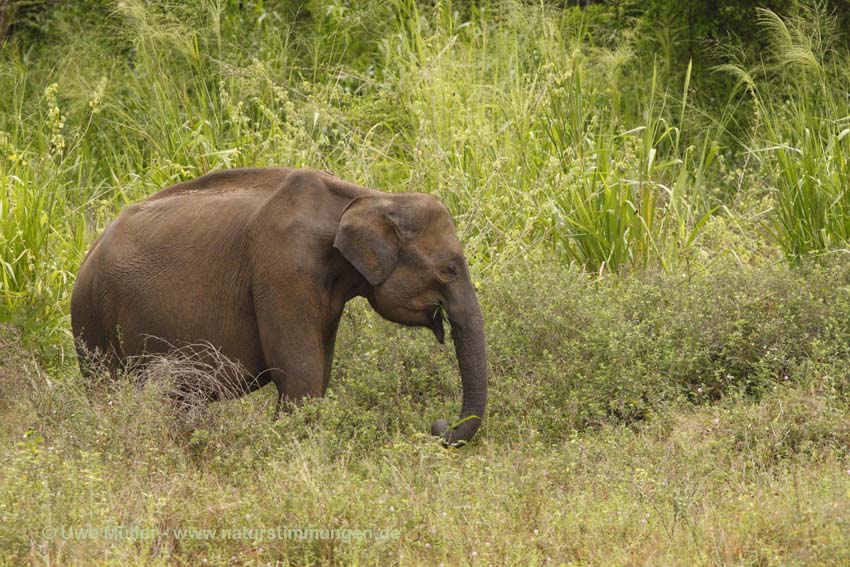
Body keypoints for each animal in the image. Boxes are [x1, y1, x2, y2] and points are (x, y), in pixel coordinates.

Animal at [72, 166, 486, 446]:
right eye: (450, 269)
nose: (438, 426)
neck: (369, 197)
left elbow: (319, 370)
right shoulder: (283, 268)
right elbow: (300, 373)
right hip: (92, 322)